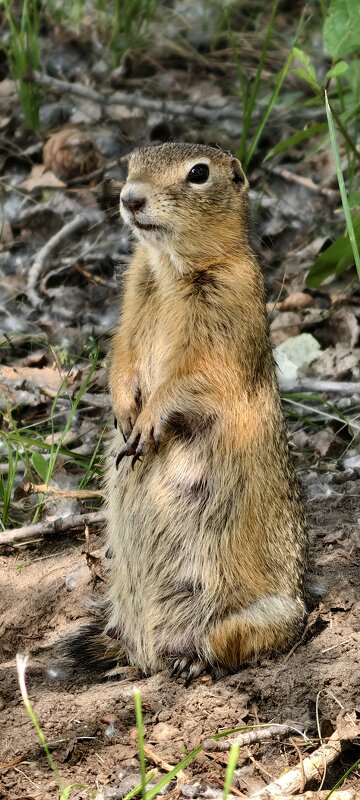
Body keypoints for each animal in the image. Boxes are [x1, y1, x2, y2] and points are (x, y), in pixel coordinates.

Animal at [79, 144, 306, 680]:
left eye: (199, 173)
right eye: (132, 161)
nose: (130, 198)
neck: (169, 268)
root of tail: (152, 650)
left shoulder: (225, 310)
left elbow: (194, 377)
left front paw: (146, 424)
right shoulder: (132, 298)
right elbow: (122, 354)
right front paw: (124, 413)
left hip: (252, 618)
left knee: (221, 646)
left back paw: (190, 662)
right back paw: (121, 656)